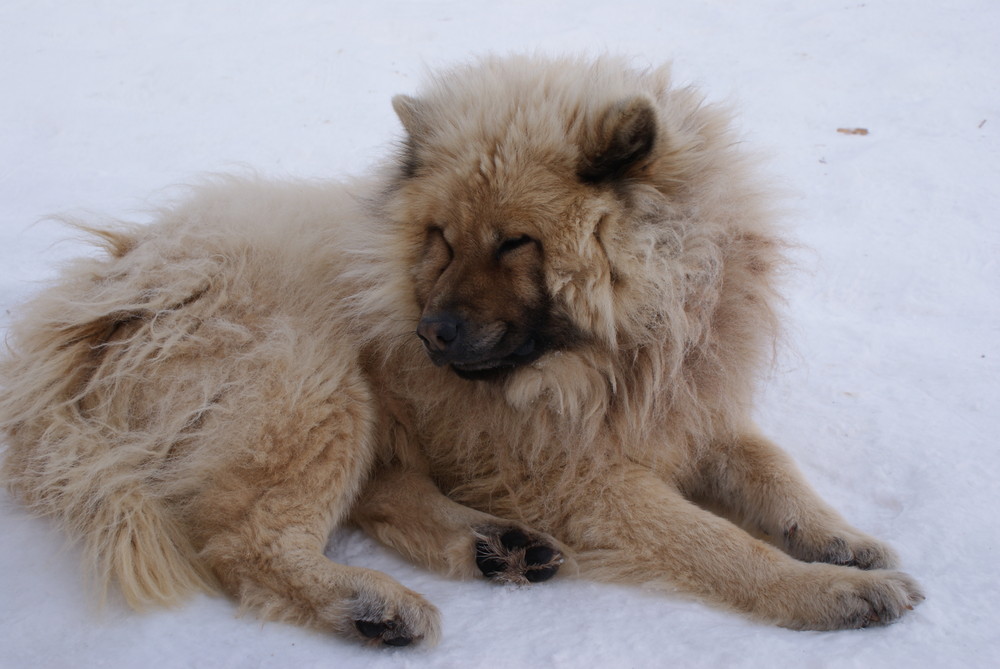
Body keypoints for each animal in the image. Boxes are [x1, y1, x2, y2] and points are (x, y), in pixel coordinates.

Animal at [0, 58, 920, 648]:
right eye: (441, 236)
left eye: (516, 242)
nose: (429, 334)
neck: (616, 353)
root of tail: (106, 288)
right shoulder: (578, 475)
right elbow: (717, 542)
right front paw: (827, 592)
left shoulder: (688, 411)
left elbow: (773, 473)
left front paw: (842, 541)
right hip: (316, 376)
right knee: (245, 541)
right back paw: (369, 602)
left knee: (375, 494)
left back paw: (491, 546)